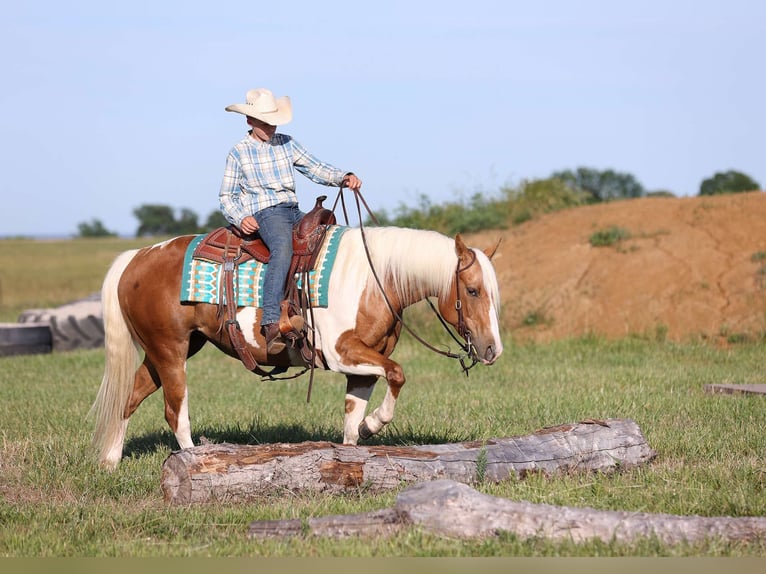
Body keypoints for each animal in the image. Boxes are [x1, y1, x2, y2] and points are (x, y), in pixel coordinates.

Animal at [90, 225, 503, 469]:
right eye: (471, 290)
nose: (492, 350)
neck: (375, 279)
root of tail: (136, 257)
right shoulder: (342, 352)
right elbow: (398, 374)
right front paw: (374, 425)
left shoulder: (363, 366)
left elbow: (352, 422)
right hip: (170, 351)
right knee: (175, 412)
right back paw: (196, 464)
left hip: (169, 351)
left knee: (130, 396)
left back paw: (110, 461)